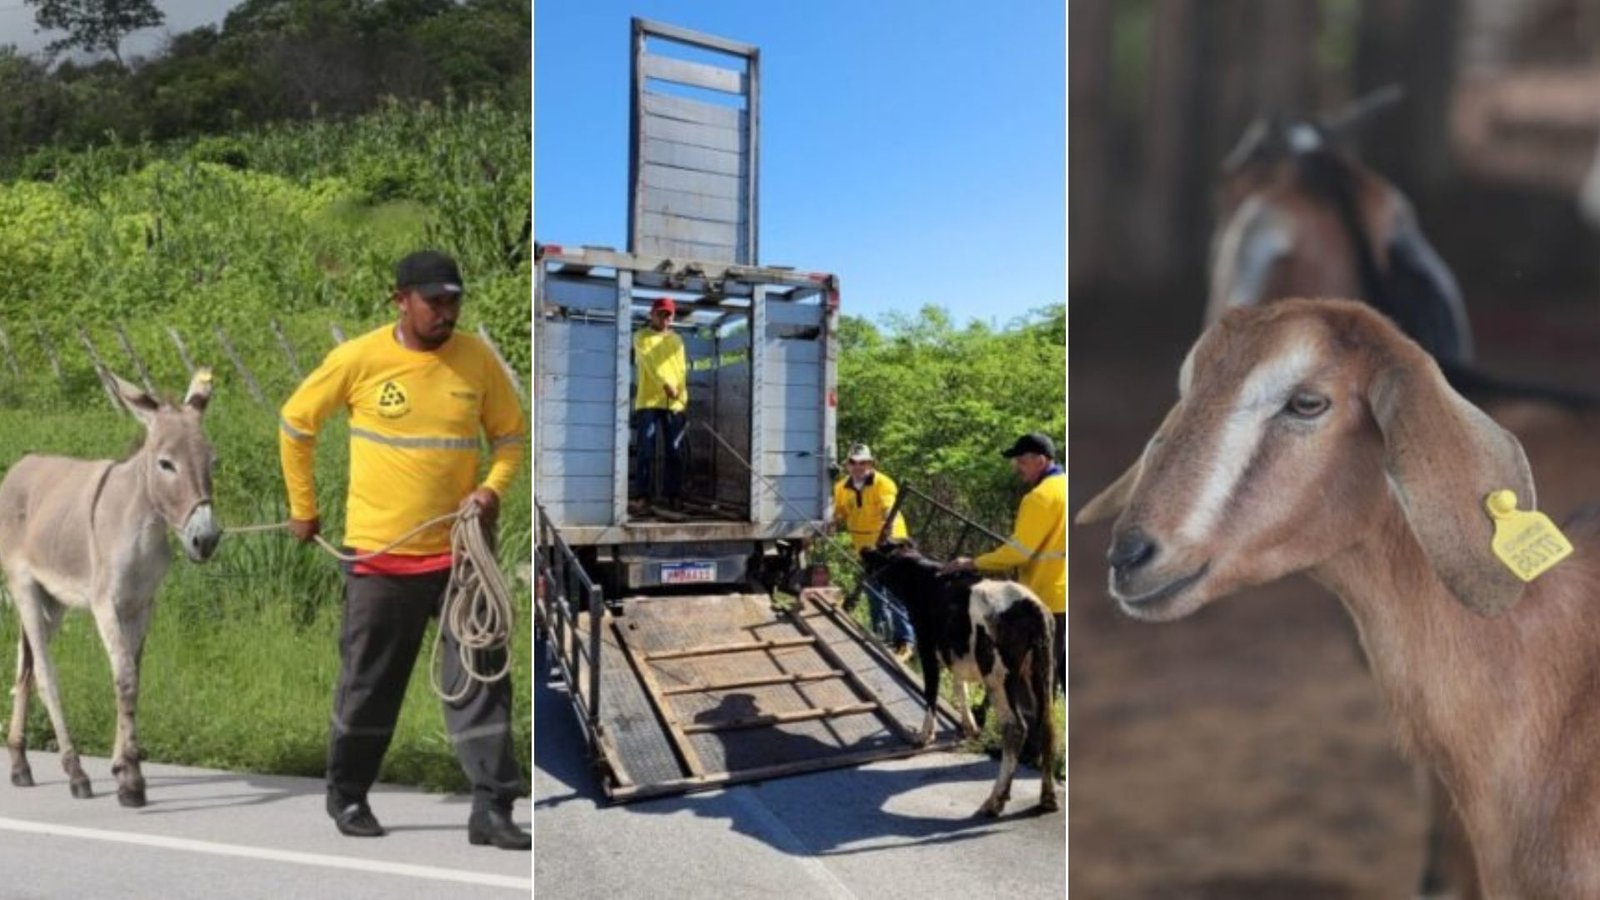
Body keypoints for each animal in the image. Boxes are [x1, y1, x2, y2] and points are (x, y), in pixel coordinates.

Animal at [857, 538, 1056, 819]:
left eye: (881, 548)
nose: (863, 548)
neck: (925, 579)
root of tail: (1032, 606)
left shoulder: (928, 647)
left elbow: (931, 691)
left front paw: (924, 736)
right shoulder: (954, 649)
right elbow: (959, 685)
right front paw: (970, 726)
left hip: (997, 675)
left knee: (1016, 728)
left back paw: (994, 801)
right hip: (1041, 671)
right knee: (1048, 725)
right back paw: (1047, 799)